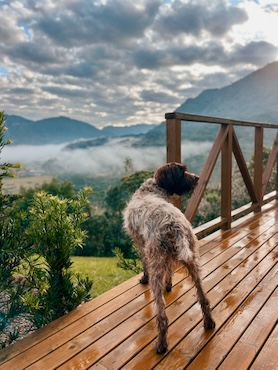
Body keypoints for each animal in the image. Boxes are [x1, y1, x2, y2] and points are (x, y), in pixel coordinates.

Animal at [122, 162, 216, 352]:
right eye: (182, 171)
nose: (197, 178)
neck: (153, 190)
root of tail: (174, 225)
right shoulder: (168, 257)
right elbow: (170, 270)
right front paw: (169, 284)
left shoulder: (142, 245)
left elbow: (144, 265)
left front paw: (144, 278)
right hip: (192, 260)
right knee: (203, 297)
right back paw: (209, 322)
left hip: (157, 266)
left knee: (162, 315)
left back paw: (161, 344)